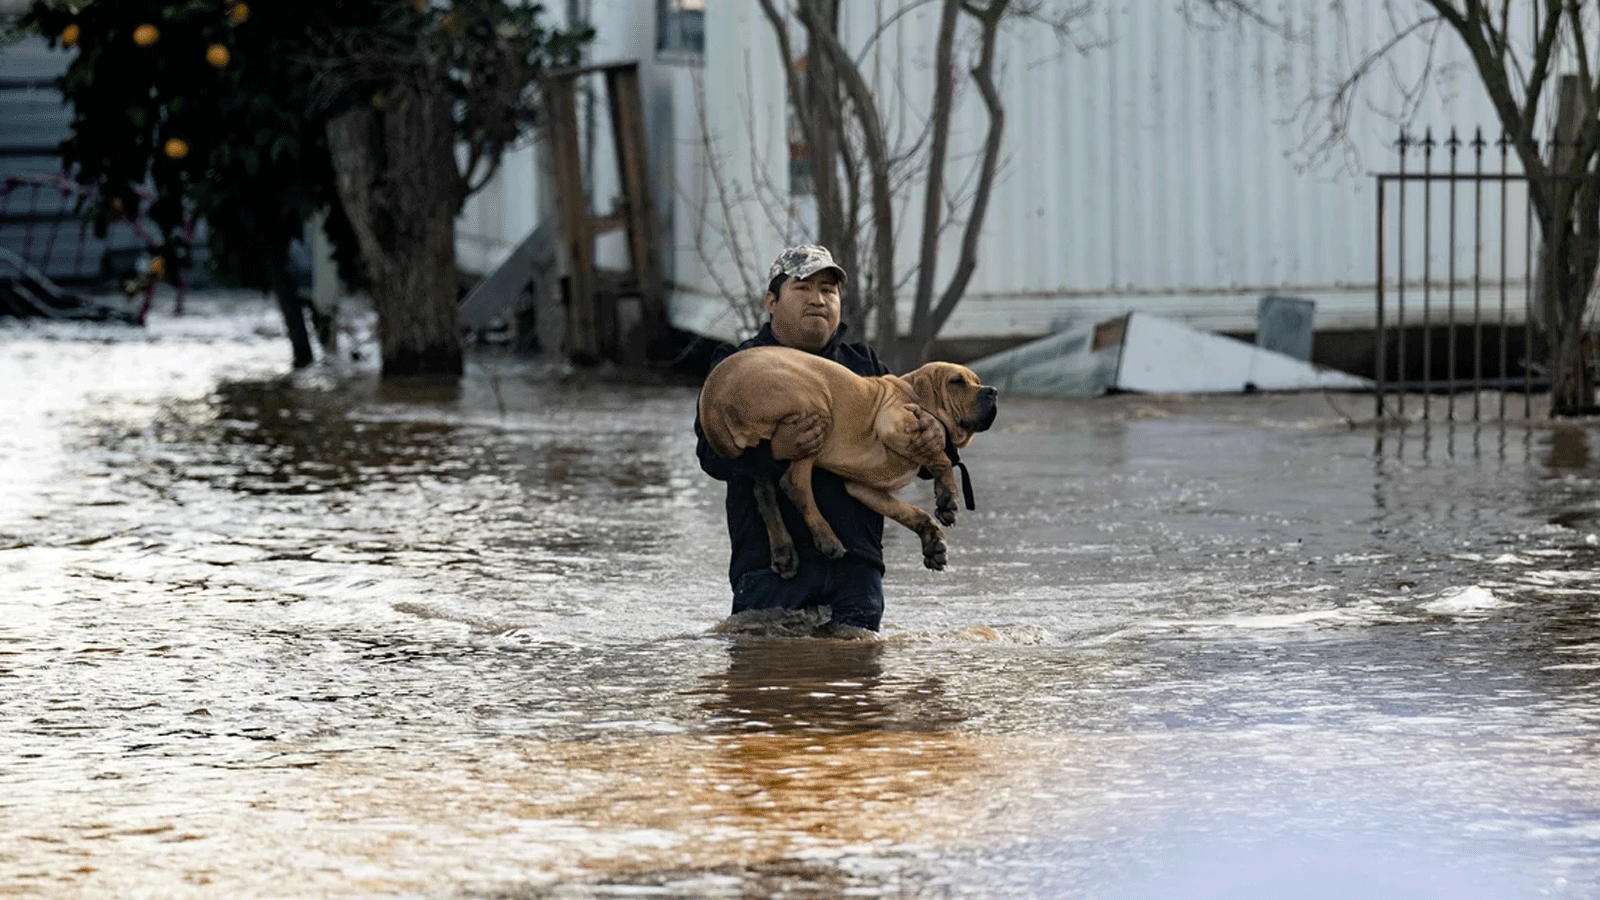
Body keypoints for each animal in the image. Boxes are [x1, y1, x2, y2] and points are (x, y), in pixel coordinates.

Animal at [700, 342, 998, 573]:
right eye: (956, 382)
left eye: (977, 381)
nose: (993, 391)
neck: (910, 390)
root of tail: (712, 394)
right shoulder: (894, 422)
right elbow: (942, 459)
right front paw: (948, 497)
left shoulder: (865, 489)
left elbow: (911, 511)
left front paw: (932, 540)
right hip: (816, 409)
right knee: (794, 485)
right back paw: (827, 539)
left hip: (766, 454)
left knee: (764, 493)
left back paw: (784, 550)